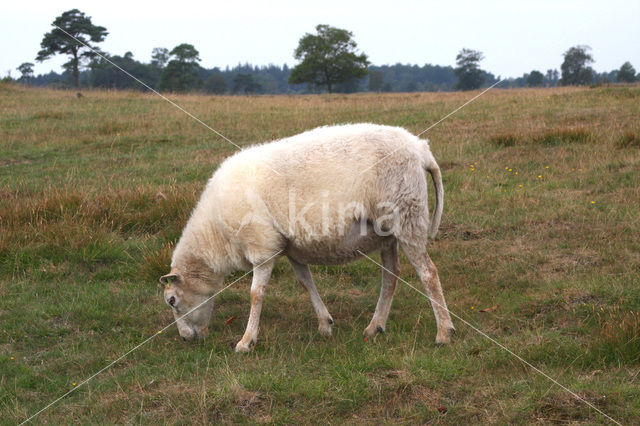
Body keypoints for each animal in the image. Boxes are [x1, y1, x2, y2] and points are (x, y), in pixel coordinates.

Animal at [160, 123, 456, 352]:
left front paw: (246, 341)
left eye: (172, 301)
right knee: (390, 276)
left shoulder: (262, 247)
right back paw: (375, 326)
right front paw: (325, 323)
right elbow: (306, 282)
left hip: (407, 216)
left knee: (428, 273)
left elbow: (256, 294)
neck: (216, 235)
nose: (185, 338)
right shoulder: (289, 247)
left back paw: (443, 332)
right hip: (387, 231)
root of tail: (421, 149)